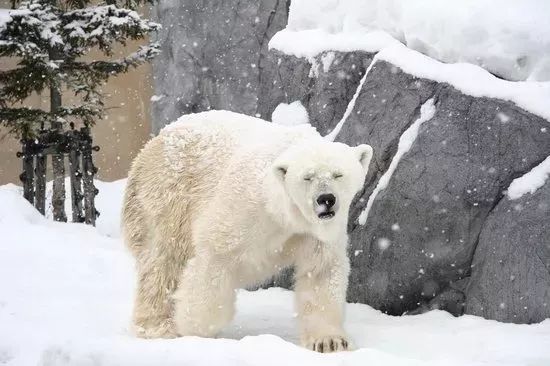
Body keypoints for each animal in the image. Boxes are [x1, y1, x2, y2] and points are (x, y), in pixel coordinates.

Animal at [123, 110, 376, 354]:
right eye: (308, 177)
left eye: (338, 174)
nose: (326, 199)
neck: (282, 212)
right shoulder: (242, 209)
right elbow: (213, 261)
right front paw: (192, 326)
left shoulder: (314, 231)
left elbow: (321, 272)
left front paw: (330, 341)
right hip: (168, 194)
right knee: (162, 260)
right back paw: (157, 326)